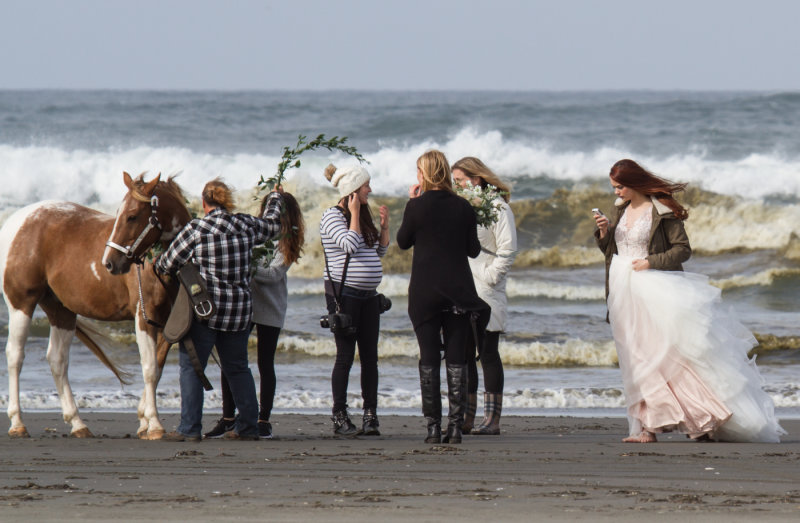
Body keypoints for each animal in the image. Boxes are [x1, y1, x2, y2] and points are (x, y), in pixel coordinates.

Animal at [0, 172, 191, 438]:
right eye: (121, 213)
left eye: (132, 216)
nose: (109, 263)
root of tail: (17, 221)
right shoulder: (144, 318)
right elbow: (150, 369)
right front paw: (153, 423)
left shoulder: (168, 323)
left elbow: (158, 367)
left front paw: (143, 419)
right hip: (21, 304)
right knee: (15, 356)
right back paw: (17, 422)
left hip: (61, 310)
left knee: (57, 360)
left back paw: (77, 422)